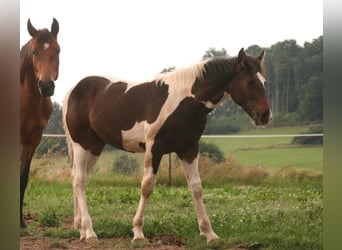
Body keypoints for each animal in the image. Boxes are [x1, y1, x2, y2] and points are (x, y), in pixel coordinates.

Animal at [62, 48, 272, 242]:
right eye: (249, 81)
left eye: (264, 82)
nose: (265, 116)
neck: (183, 102)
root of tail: (73, 90)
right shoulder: (154, 149)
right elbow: (147, 186)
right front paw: (138, 232)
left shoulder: (189, 149)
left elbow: (196, 187)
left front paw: (209, 233)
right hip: (82, 144)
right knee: (80, 180)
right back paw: (89, 232)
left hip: (95, 147)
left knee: (76, 177)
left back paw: (80, 228)